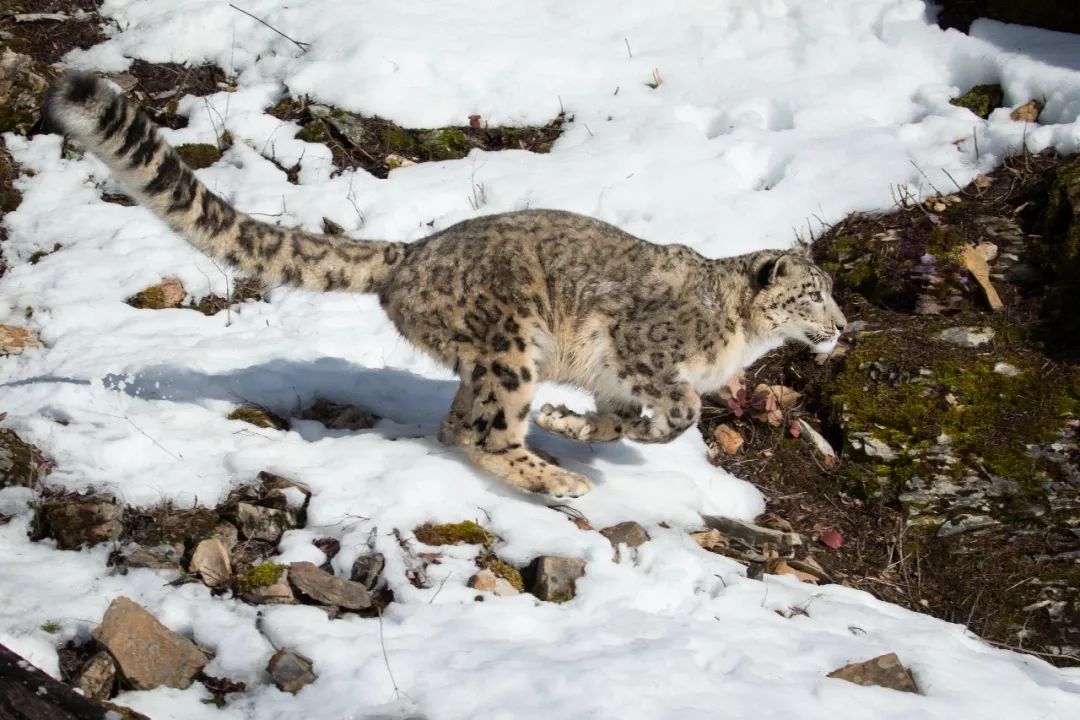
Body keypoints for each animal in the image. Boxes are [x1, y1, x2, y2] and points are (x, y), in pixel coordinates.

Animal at [46, 74, 846, 500]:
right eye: (812, 294)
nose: (842, 326)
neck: (738, 340)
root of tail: (412, 252)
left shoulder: (620, 381)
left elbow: (618, 418)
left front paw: (575, 424)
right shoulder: (646, 349)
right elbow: (679, 409)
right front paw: (615, 433)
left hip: (486, 358)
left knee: (460, 425)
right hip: (512, 339)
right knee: (489, 431)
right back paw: (554, 479)